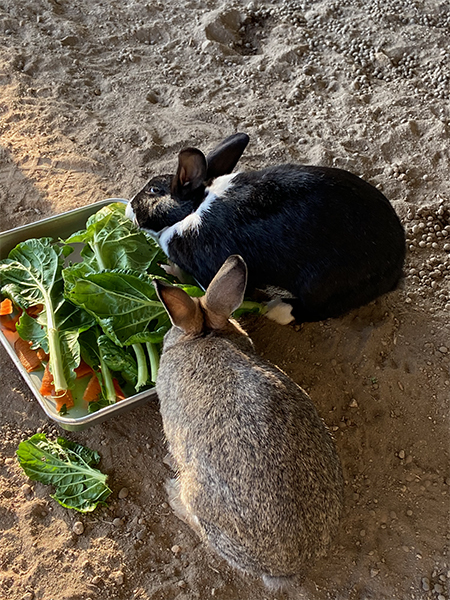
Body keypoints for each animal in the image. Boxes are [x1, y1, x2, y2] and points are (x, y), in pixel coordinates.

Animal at [127, 132, 405, 324]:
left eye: (153, 190)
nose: (129, 207)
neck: (192, 210)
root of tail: (394, 267)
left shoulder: (211, 271)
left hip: (321, 284)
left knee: (317, 309)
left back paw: (277, 310)